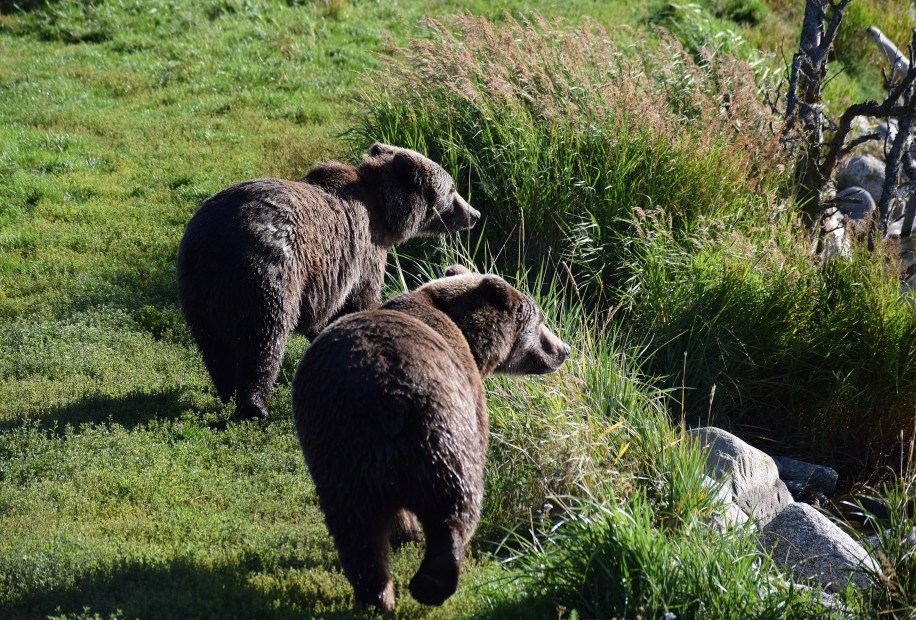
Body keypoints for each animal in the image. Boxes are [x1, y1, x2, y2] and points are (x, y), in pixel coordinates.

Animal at [176, 143, 479, 420]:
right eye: (452, 189)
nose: (474, 214)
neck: (384, 211)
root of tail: (215, 243)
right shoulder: (360, 253)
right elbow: (359, 299)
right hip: (268, 271)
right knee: (264, 337)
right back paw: (256, 406)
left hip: (196, 286)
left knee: (214, 346)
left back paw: (227, 391)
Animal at [292, 266, 571, 611]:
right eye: (540, 320)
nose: (563, 349)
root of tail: (388, 397)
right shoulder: (470, 387)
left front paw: (403, 535)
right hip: (440, 421)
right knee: (455, 500)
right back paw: (433, 580)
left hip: (340, 442)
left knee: (356, 526)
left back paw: (377, 594)